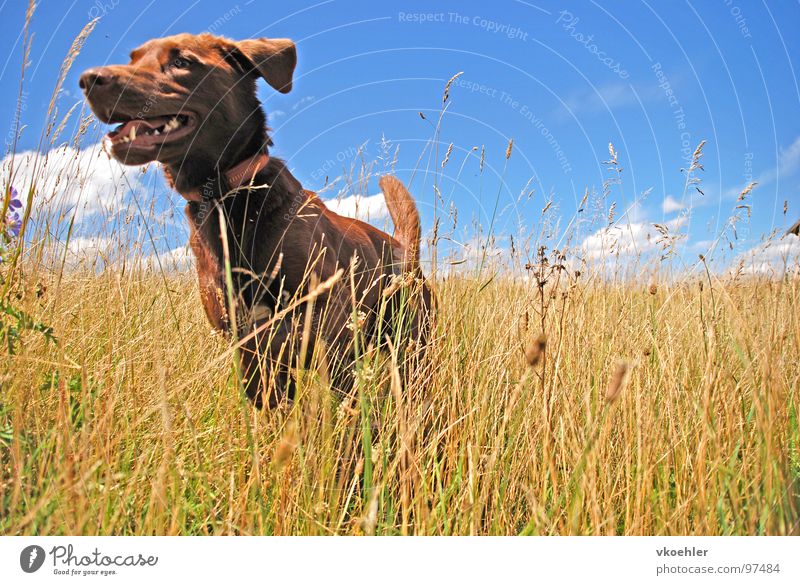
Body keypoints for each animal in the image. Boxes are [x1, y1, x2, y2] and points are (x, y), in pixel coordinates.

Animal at [78, 33, 434, 406]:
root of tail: (402, 247)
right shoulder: (250, 353)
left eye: (182, 62)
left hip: (412, 343)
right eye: (132, 59)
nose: (89, 79)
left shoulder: (329, 331)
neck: (226, 197)